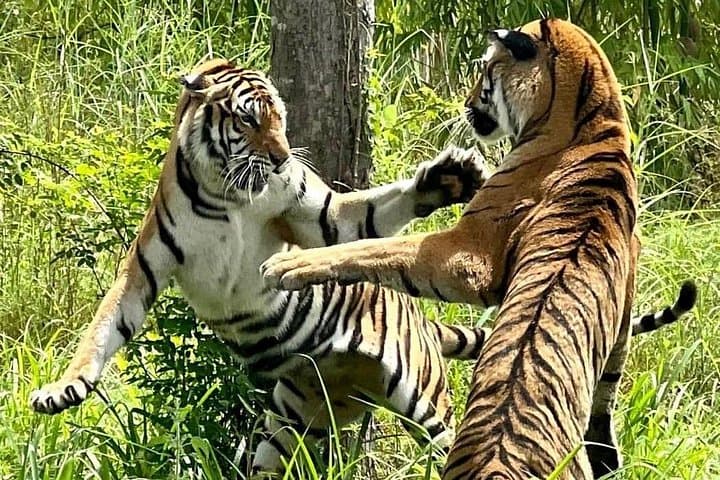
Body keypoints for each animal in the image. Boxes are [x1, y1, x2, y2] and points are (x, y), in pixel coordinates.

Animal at [29, 58, 500, 476]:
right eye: (248, 120)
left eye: (279, 119)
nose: (282, 158)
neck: (226, 193)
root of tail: (421, 322)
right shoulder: (143, 267)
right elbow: (103, 327)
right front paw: (62, 389)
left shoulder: (321, 216)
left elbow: (359, 216)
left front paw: (449, 178)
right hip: (290, 423)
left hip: (426, 404)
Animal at [260, 18, 698, 479]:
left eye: (486, 71)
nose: (467, 104)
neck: (596, 119)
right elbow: (609, 391)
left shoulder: (469, 252)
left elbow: (374, 248)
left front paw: (287, 264)